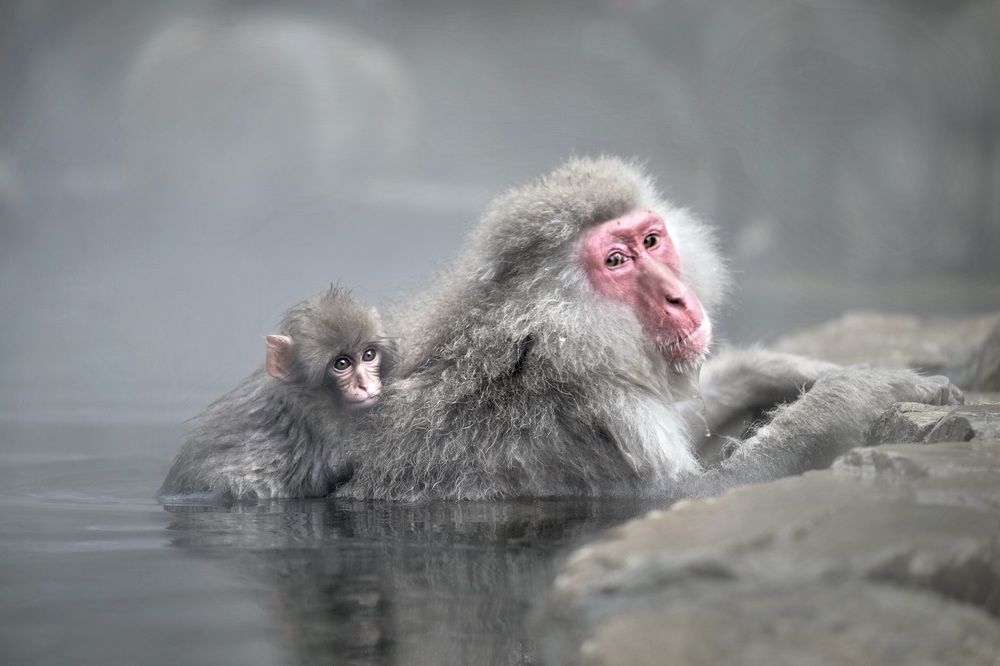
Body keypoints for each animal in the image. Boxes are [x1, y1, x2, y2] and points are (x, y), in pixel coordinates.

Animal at [338, 156, 960, 502]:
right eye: (616, 261)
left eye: (652, 240)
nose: (678, 297)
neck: (551, 334)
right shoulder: (602, 404)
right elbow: (698, 496)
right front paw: (863, 388)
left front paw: (787, 369)